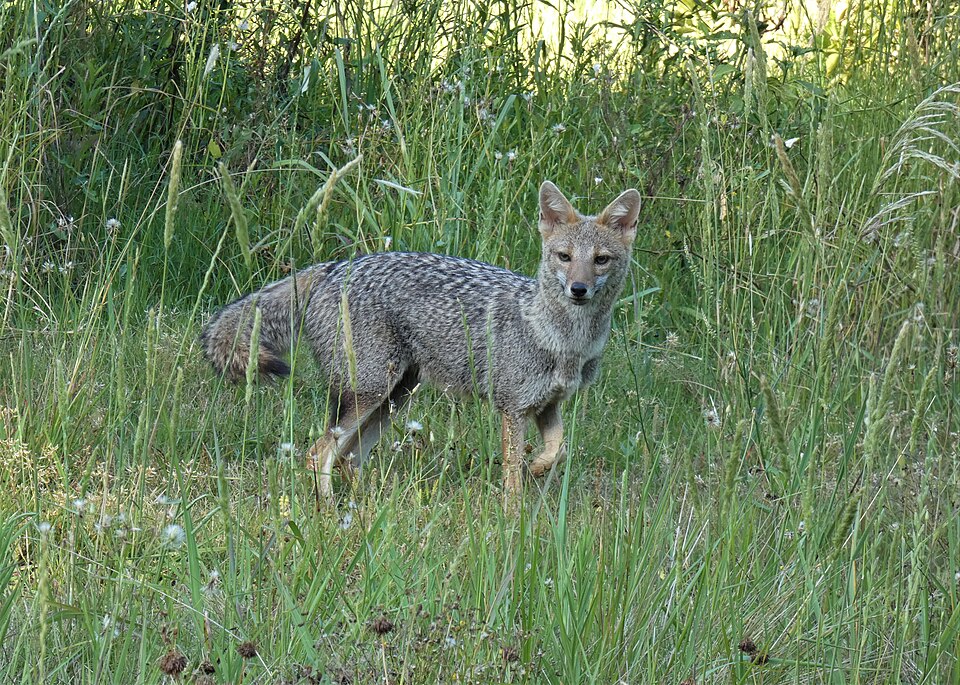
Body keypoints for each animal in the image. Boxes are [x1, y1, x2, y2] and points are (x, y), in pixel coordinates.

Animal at [200, 181, 640, 504]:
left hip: (391, 400)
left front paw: (537, 467)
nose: (578, 289)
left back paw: (365, 508)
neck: (563, 341)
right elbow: (513, 476)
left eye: (600, 259)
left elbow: (559, 449)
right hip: (370, 395)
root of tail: (333, 267)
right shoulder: (512, 409)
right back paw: (328, 513)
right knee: (319, 453)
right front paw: (513, 518)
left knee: (348, 459)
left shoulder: (548, 406)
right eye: (565, 257)